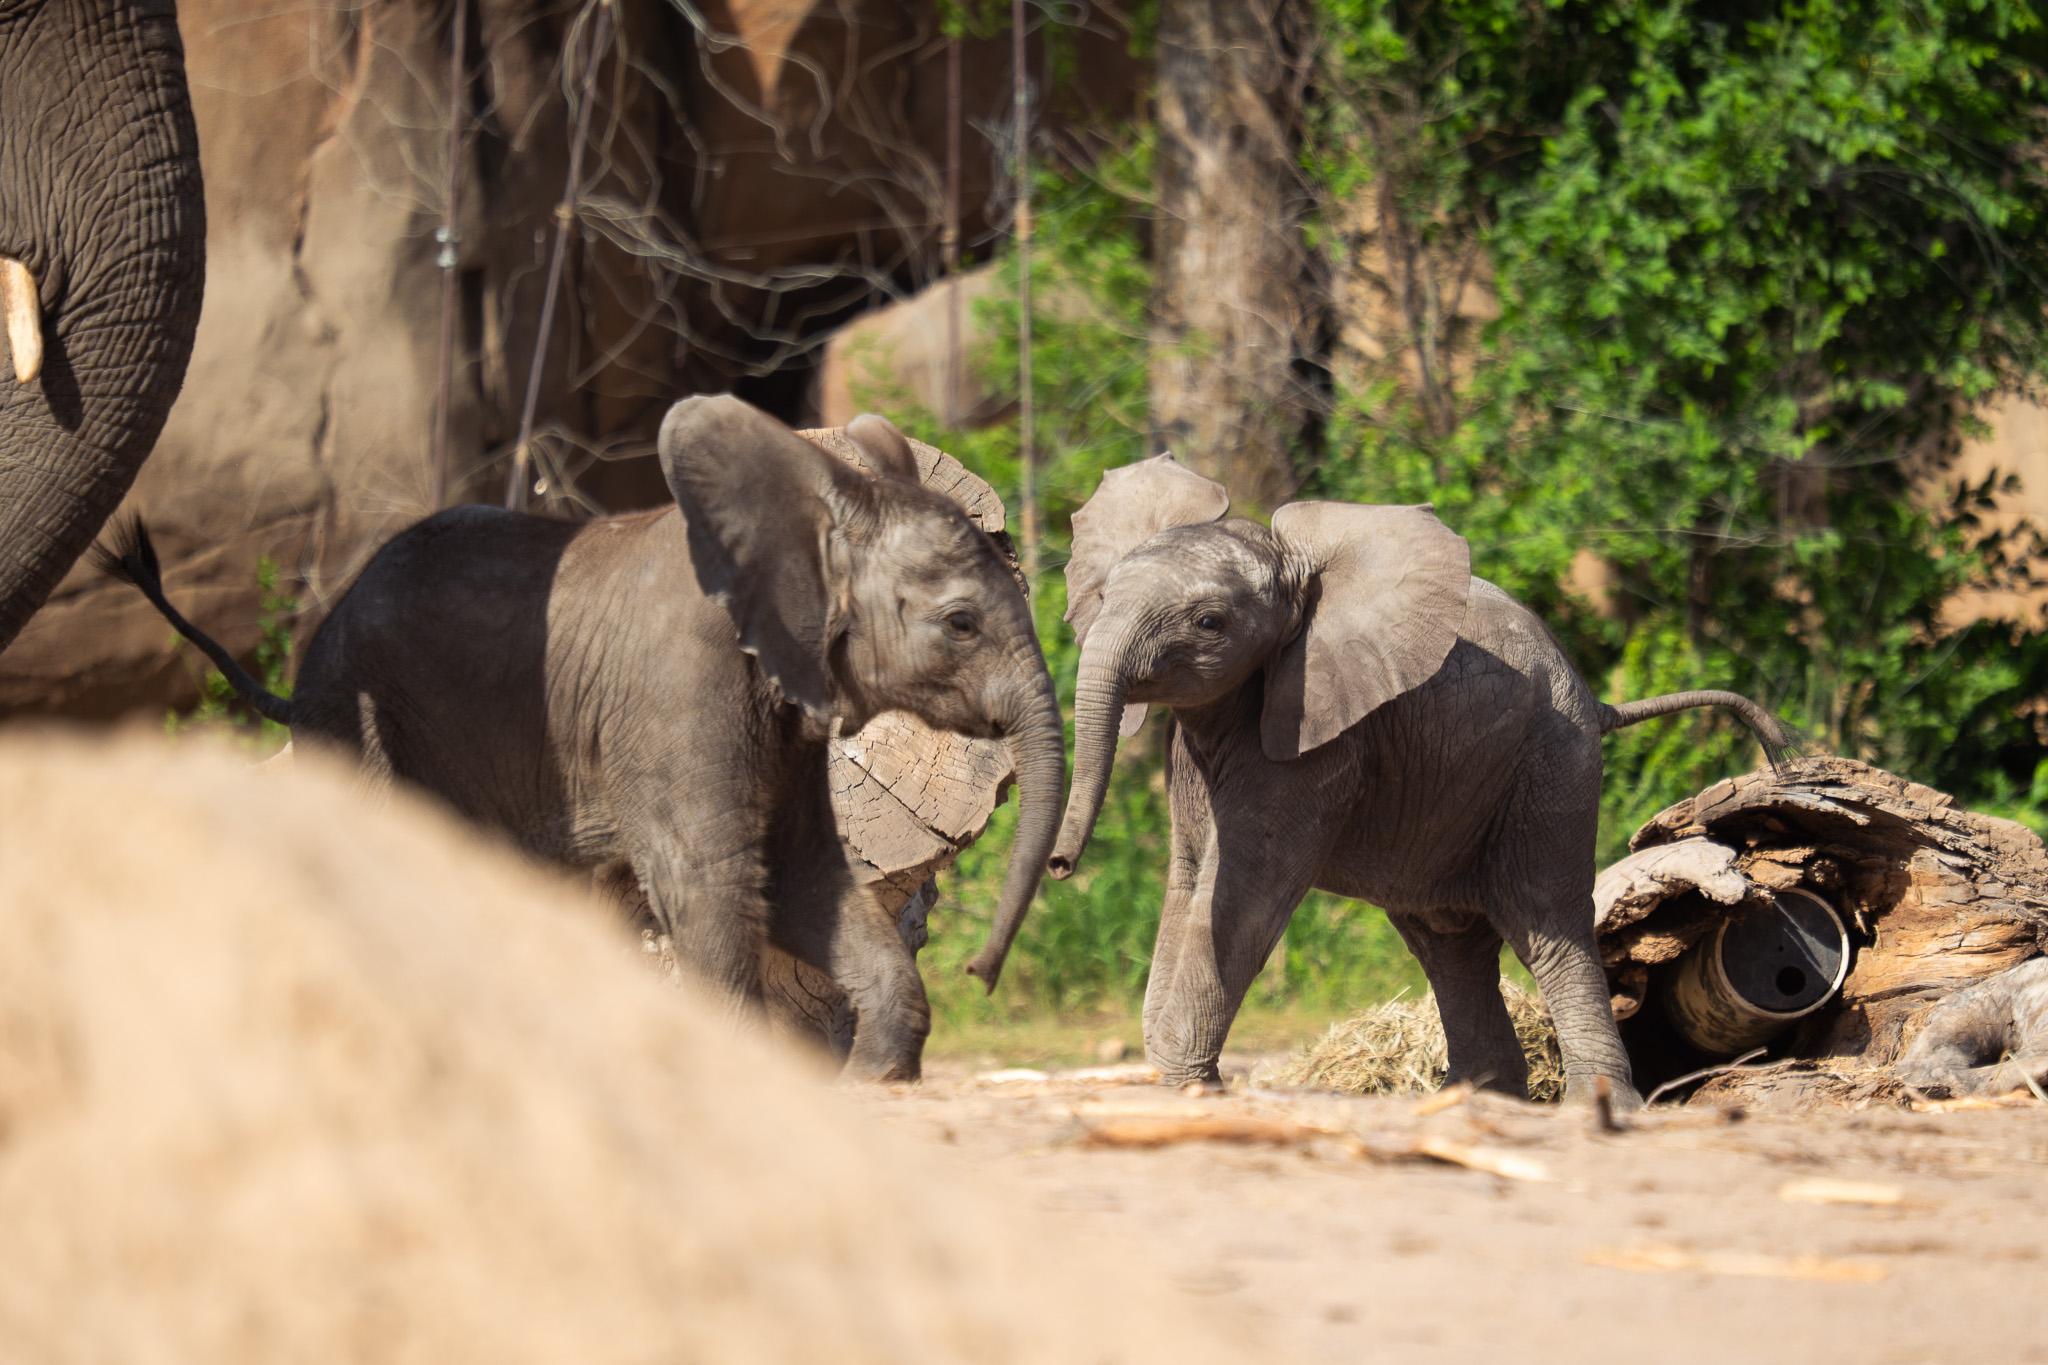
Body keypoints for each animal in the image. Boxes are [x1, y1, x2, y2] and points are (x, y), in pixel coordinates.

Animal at [101, 396, 1064, 1081]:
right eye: (962, 621)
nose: (980, 971)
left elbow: (803, 879)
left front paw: (874, 1074)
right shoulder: (682, 688)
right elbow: (714, 880)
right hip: (359, 722)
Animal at [1046, 455, 1789, 1103]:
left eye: (1209, 622)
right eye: (1102, 596)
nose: (1057, 865)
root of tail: (1594, 697)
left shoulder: (1319, 747)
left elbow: (1240, 900)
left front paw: (1191, 1086)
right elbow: (1188, 878)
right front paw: (1178, 1074)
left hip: (1552, 765)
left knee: (1547, 929)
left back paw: (1592, 1107)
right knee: (1449, 943)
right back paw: (1478, 1099)